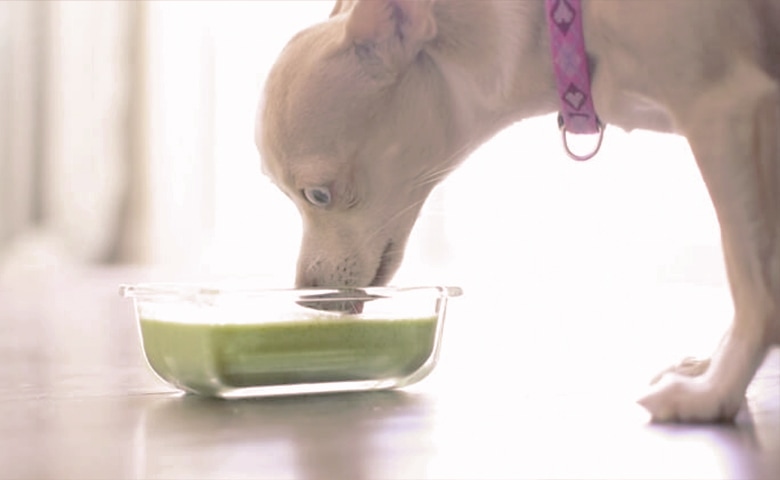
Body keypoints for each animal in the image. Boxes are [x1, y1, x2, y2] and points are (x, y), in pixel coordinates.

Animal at [258, 0, 780, 422]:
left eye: (317, 196)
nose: (306, 298)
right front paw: (712, 369)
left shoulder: (725, 111)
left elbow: (750, 284)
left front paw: (716, 391)